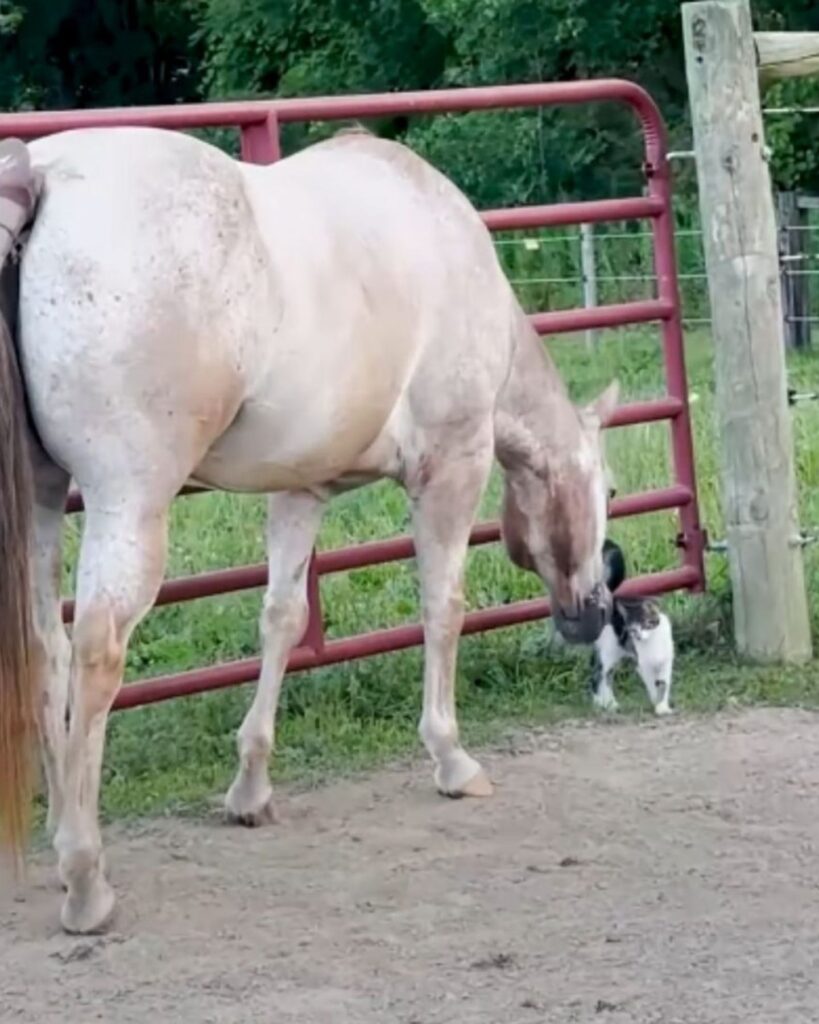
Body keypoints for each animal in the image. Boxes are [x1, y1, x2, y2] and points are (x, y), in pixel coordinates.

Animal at [0, 125, 618, 934]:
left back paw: (59, 831)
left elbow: (283, 619)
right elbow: (442, 608)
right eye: (607, 490)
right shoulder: (452, 465)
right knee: (97, 652)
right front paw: (451, 757)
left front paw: (251, 786)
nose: (593, 612)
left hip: (43, 501)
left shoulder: (302, 488)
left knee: (46, 648)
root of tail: (38, 175)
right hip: (126, 502)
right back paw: (84, 878)